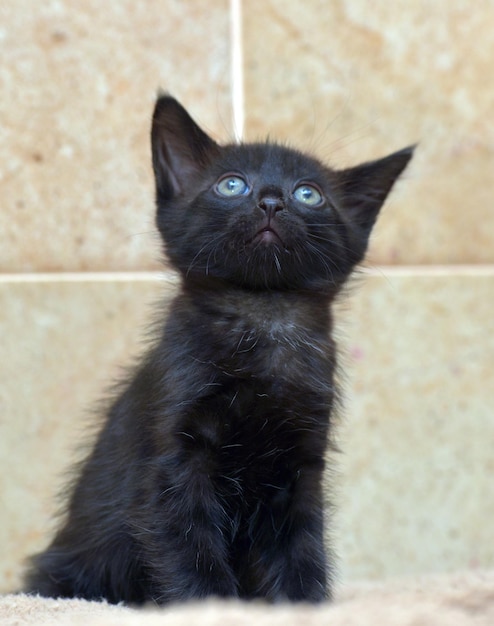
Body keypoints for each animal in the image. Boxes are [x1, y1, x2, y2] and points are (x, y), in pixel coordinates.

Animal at [24, 95, 412, 604]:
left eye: (309, 194)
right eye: (232, 185)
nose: (271, 200)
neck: (263, 319)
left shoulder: (301, 469)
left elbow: (302, 552)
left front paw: (307, 605)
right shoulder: (174, 462)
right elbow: (190, 549)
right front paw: (211, 605)